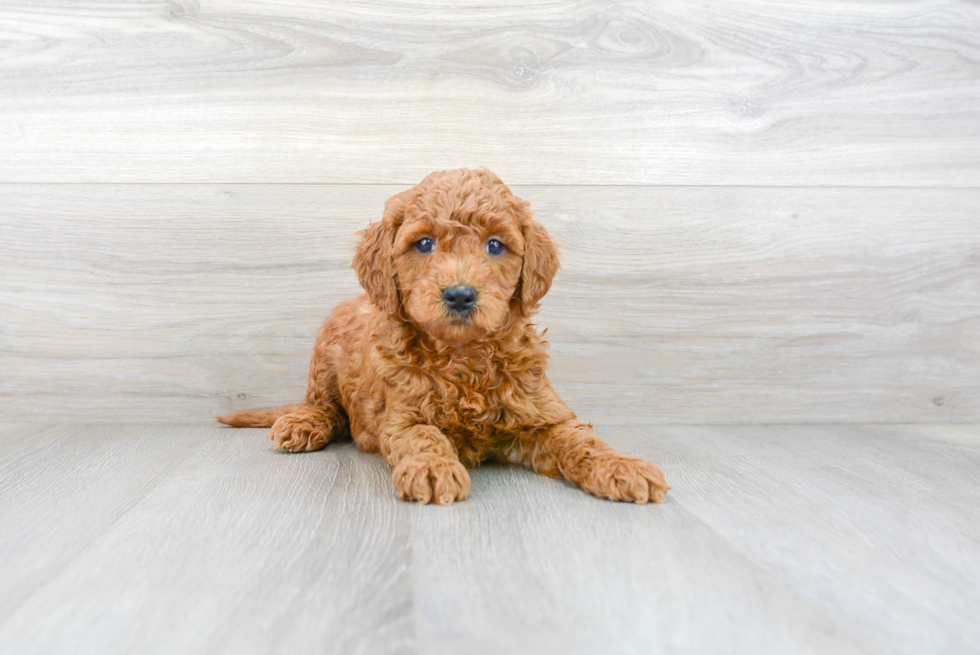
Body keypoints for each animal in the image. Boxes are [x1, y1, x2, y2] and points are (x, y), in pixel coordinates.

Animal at [218, 167, 668, 504]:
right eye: (424, 243)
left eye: (495, 245)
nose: (460, 294)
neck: (464, 357)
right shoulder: (401, 416)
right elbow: (423, 435)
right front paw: (433, 468)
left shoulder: (544, 415)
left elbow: (581, 440)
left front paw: (622, 466)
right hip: (325, 357)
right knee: (325, 407)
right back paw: (302, 424)